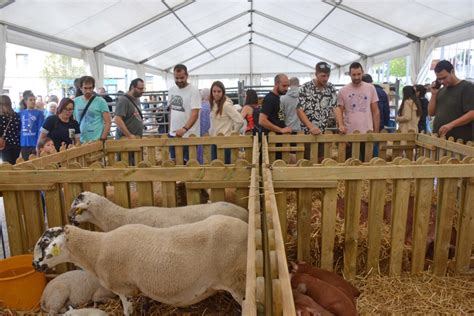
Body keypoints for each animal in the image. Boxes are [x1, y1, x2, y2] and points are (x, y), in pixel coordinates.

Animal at [32, 215, 248, 316]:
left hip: (238, 281)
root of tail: (247, 228)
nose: (34, 264)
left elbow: (127, 311)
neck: (97, 249)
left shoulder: (124, 289)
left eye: (45, 242)